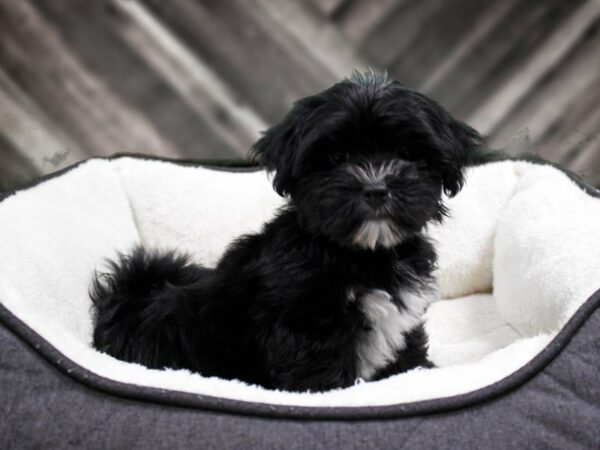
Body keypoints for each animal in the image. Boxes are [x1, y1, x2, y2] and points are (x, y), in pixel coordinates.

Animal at [91, 72, 482, 392]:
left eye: (405, 152)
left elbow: (407, 356)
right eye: (335, 157)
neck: (364, 255)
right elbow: (321, 380)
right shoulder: (306, 330)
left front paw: (421, 375)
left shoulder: (401, 322)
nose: (375, 189)